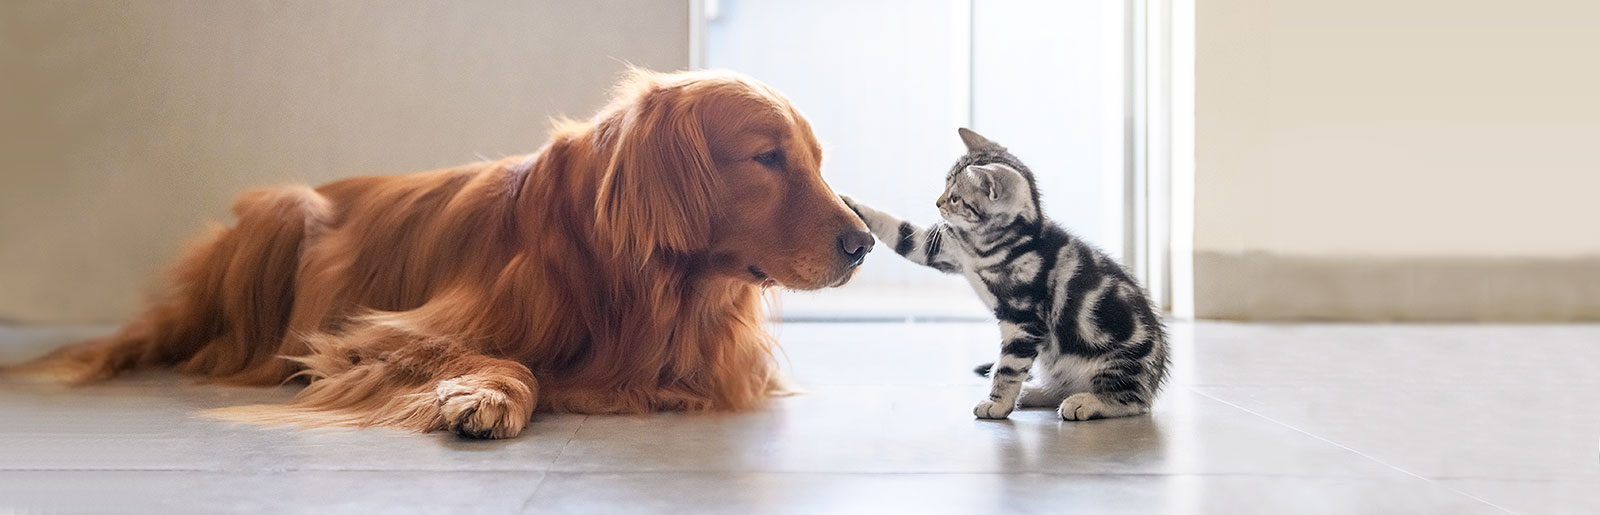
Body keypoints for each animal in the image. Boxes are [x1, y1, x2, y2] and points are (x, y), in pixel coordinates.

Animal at [6, 68, 870, 438]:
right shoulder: (378, 332)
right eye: (768, 158)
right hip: (285, 212)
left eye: (817, 159)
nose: (864, 242)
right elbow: (503, 357)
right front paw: (486, 395)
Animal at [844, 127, 1171, 419]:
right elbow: (900, 232)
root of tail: (1155, 380)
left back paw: (1087, 402)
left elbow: (1009, 367)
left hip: (1117, 362)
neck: (987, 246)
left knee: (1132, 401)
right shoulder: (943, 249)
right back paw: (1037, 392)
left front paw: (997, 404)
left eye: (955, 197)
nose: (937, 203)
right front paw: (851, 204)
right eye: (945, 187)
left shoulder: (1023, 319)